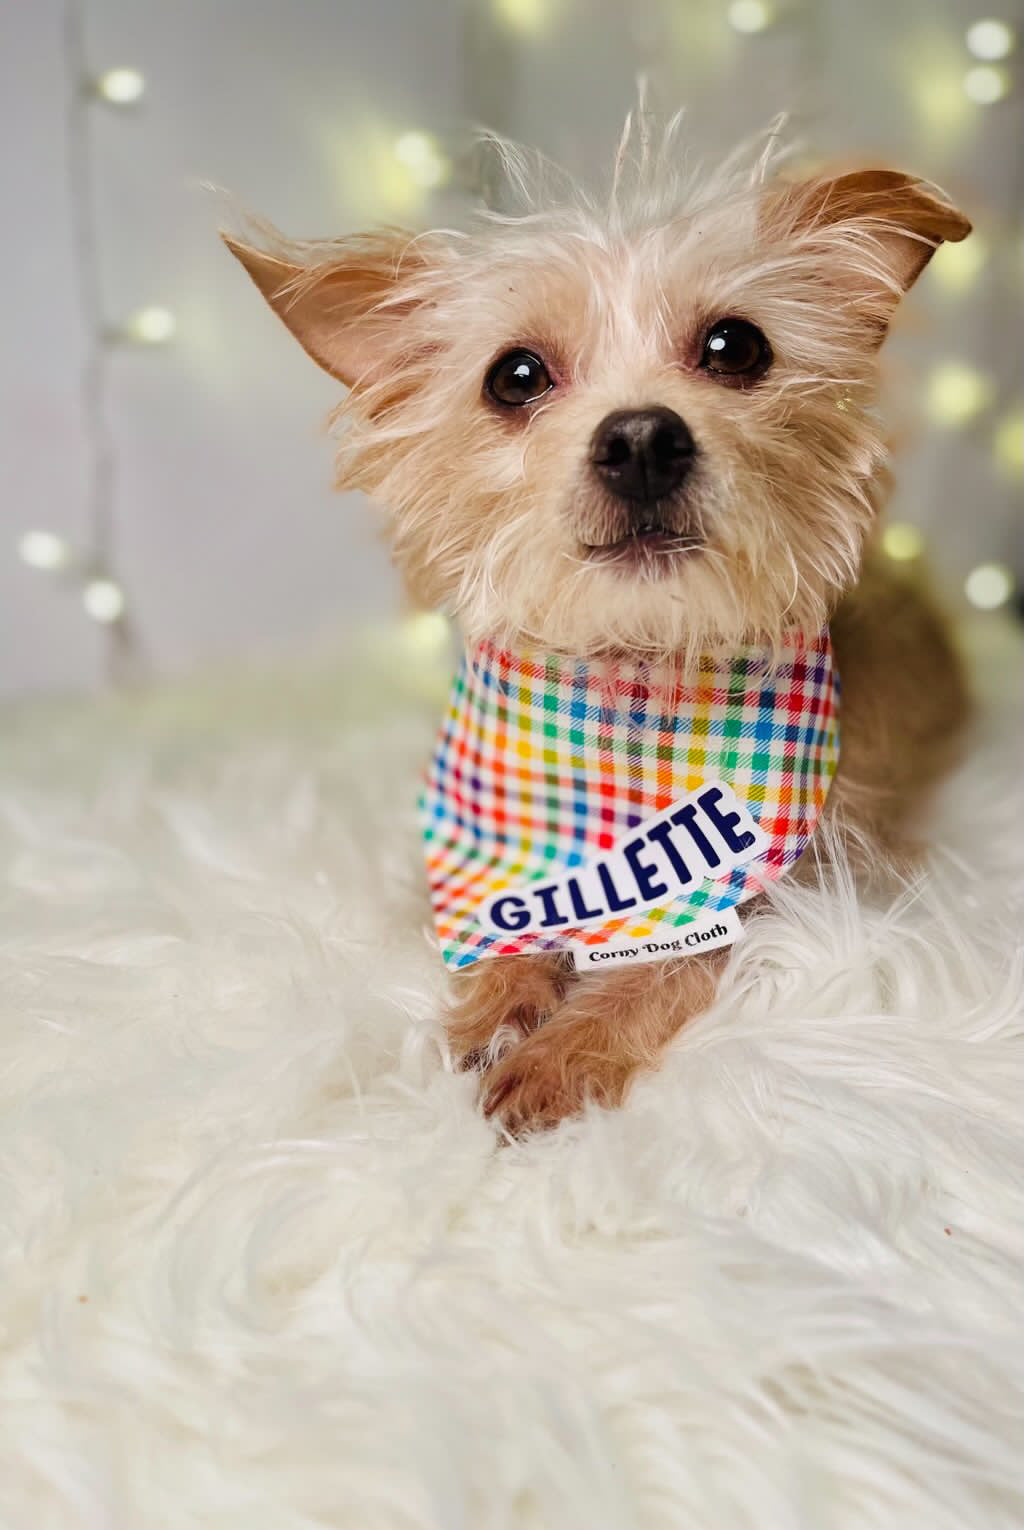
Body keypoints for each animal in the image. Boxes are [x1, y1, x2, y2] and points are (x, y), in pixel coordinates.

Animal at [228, 119, 973, 1138]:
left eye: (736, 346)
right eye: (515, 376)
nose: (642, 439)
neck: (631, 687)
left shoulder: (803, 886)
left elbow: (678, 959)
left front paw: (565, 1049)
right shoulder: (482, 845)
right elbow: (499, 922)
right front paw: (501, 1003)